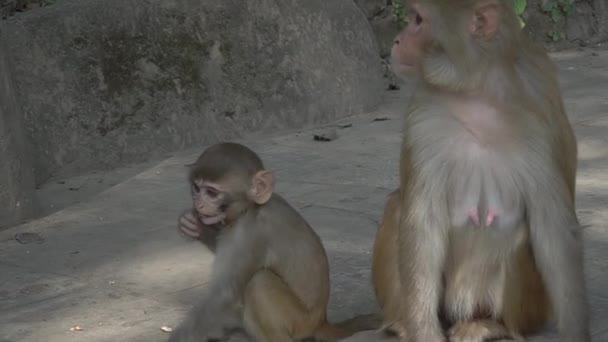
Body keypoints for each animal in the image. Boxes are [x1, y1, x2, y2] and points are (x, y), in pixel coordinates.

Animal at [171, 142, 378, 342]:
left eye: (212, 193)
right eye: (197, 189)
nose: (199, 204)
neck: (250, 208)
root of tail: (321, 321)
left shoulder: (251, 232)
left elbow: (224, 295)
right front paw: (195, 227)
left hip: (299, 320)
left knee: (259, 282)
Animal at [370, 0, 588, 342]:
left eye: (418, 20)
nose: (395, 40)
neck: (477, 89)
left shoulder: (541, 113)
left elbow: (554, 228)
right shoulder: (423, 115)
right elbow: (422, 221)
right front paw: (422, 331)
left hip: (528, 308)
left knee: (520, 234)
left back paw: (490, 324)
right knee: (397, 207)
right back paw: (401, 322)